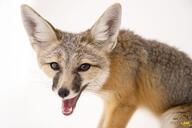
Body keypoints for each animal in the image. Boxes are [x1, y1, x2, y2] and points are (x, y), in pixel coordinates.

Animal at [21, 3, 192, 128]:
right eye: (55, 66)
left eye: (84, 67)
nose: (62, 92)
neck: (111, 69)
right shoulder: (109, 104)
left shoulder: (124, 105)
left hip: (171, 117)